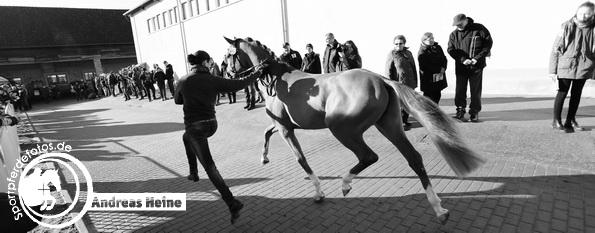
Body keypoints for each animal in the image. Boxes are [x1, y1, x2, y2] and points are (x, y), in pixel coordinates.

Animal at [226, 36, 486, 224]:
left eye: (229, 55)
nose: (229, 73)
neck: (279, 79)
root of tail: (381, 79)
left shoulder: (285, 128)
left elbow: (301, 159)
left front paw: (318, 192)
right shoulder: (283, 125)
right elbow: (265, 132)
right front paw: (264, 158)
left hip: (343, 129)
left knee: (368, 156)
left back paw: (345, 184)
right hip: (389, 126)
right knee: (414, 158)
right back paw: (439, 209)